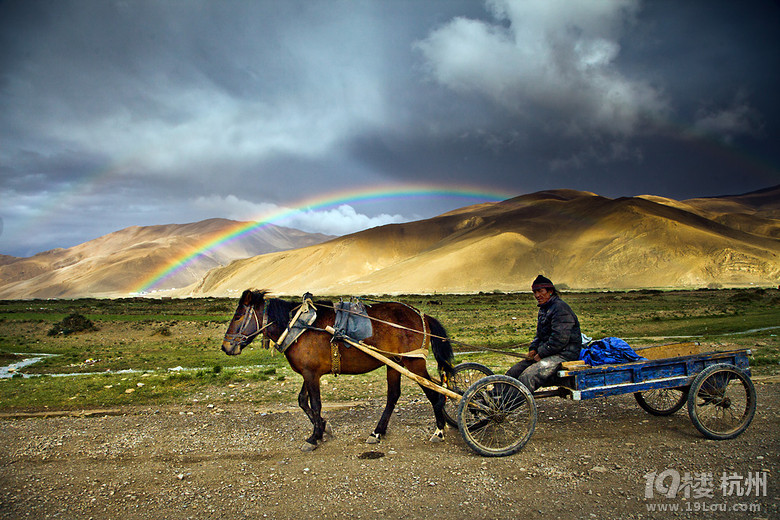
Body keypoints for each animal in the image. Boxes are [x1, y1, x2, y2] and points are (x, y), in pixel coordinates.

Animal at [219, 288, 454, 450]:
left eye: (238, 316)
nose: (226, 347)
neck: (299, 327)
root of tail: (421, 315)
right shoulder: (309, 373)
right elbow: (303, 401)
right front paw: (324, 428)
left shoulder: (311, 374)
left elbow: (315, 404)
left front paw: (314, 437)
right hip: (394, 363)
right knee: (394, 395)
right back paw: (378, 432)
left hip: (413, 363)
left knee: (435, 393)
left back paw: (439, 430)